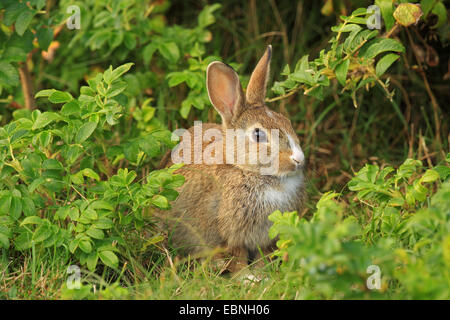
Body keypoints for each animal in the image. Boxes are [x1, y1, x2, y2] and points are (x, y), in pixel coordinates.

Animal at [159, 44, 306, 270]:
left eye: (287, 121)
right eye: (258, 135)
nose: (298, 158)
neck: (247, 170)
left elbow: (263, 255)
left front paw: (263, 273)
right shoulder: (228, 235)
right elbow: (237, 258)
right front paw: (248, 276)